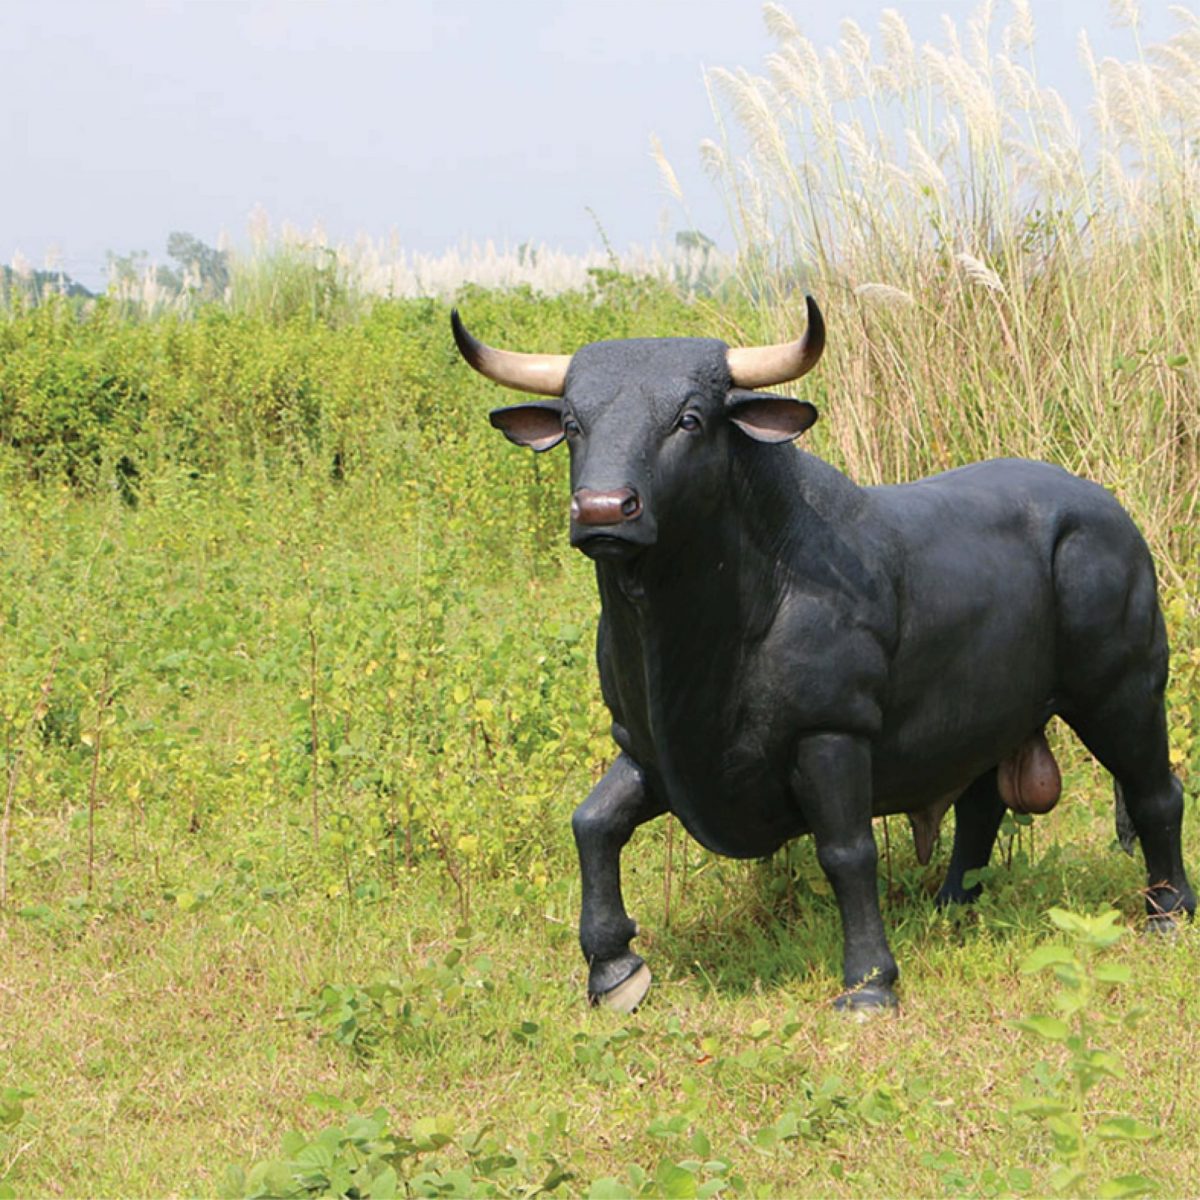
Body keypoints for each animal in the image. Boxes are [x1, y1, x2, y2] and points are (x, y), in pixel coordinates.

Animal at [451, 298, 1195, 1012]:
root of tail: (1105, 510)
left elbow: (847, 852)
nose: (604, 509)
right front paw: (613, 969)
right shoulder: (644, 744)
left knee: (1154, 790)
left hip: (1123, 688)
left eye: (690, 418)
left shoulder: (831, 732)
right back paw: (952, 903)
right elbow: (593, 823)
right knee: (981, 805)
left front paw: (870, 982)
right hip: (989, 715)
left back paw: (1166, 911)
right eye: (574, 423)